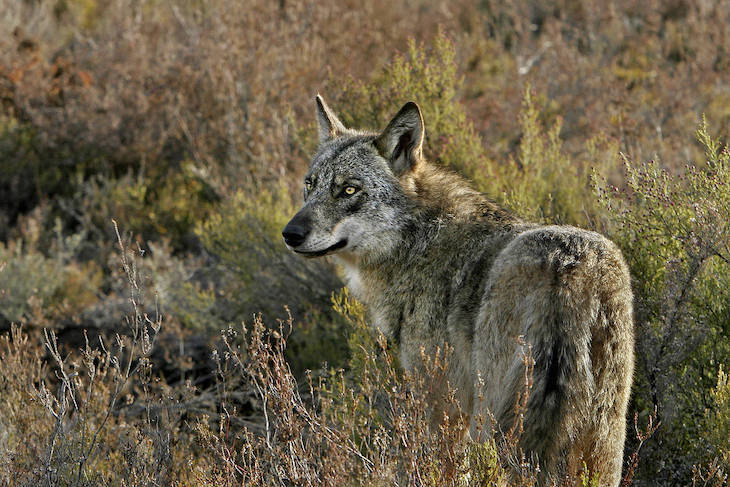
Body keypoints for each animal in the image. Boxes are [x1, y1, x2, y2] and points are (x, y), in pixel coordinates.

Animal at [282, 95, 634, 485]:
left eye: (348, 189)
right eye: (310, 185)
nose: (290, 233)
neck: (418, 242)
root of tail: (567, 266)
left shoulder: (443, 404)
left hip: (493, 421)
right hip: (603, 435)